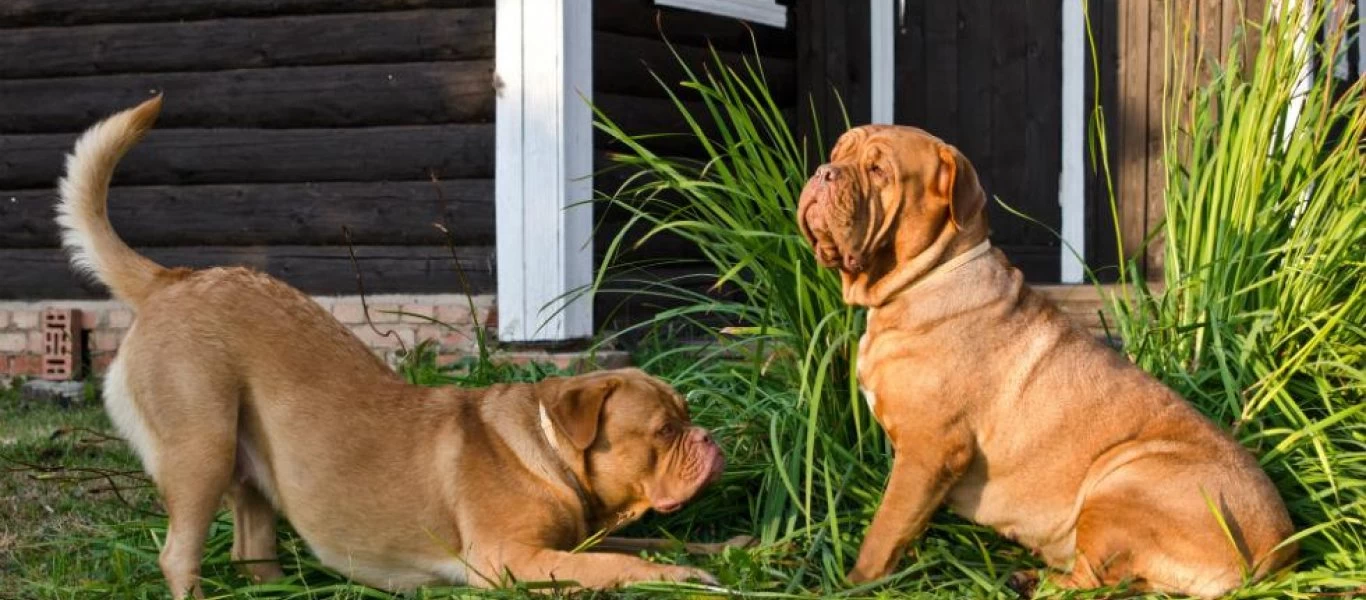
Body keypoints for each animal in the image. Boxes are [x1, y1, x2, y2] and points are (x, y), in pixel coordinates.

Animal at [56, 97, 726, 595]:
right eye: (665, 431)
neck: (550, 450)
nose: (706, 437)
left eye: (686, 419)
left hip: (248, 467)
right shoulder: (512, 559)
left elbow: (643, 542)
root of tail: (171, 280)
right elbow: (618, 564)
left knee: (253, 550)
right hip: (202, 449)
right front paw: (682, 575)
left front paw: (727, 547)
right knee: (178, 555)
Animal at [797, 125, 1294, 595]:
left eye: (879, 170)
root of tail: (1277, 555)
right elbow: (905, 524)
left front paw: (852, 583)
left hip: (1121, 482)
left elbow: (885, 527)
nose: (824, 172)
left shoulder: (929, 449)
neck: (924, 281)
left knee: (1095, 581)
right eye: (839, 152)